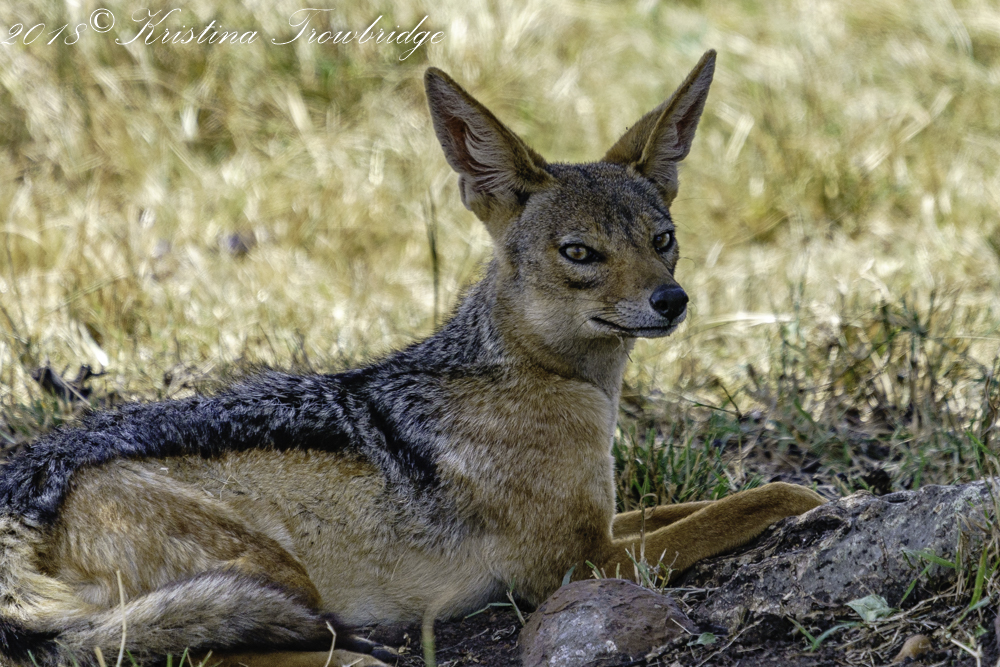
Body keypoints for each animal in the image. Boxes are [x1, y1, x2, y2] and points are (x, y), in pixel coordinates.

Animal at [0, 50, 825, 667]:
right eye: (581, 253)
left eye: (662, 239)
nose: (672, 301)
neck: (555, 382)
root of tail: (22, 487)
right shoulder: (580, 565)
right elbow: (745, 501)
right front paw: (810, 500)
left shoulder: (604, 523)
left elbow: (706, 500)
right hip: (275, 575)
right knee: (174, 648)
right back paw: (358, 653)